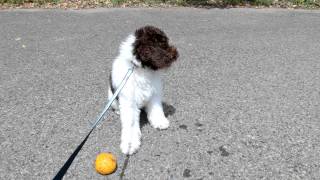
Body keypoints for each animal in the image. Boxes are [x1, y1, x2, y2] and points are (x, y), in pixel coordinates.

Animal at [109, 25, 179, 155]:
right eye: (162, 45)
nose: (176, 54)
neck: (140, 70)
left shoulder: (154, 95)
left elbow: (156, 110)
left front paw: (160, 122)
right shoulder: (129, 103)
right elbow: (131, 124)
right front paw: (130, 144)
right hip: (112, 98)